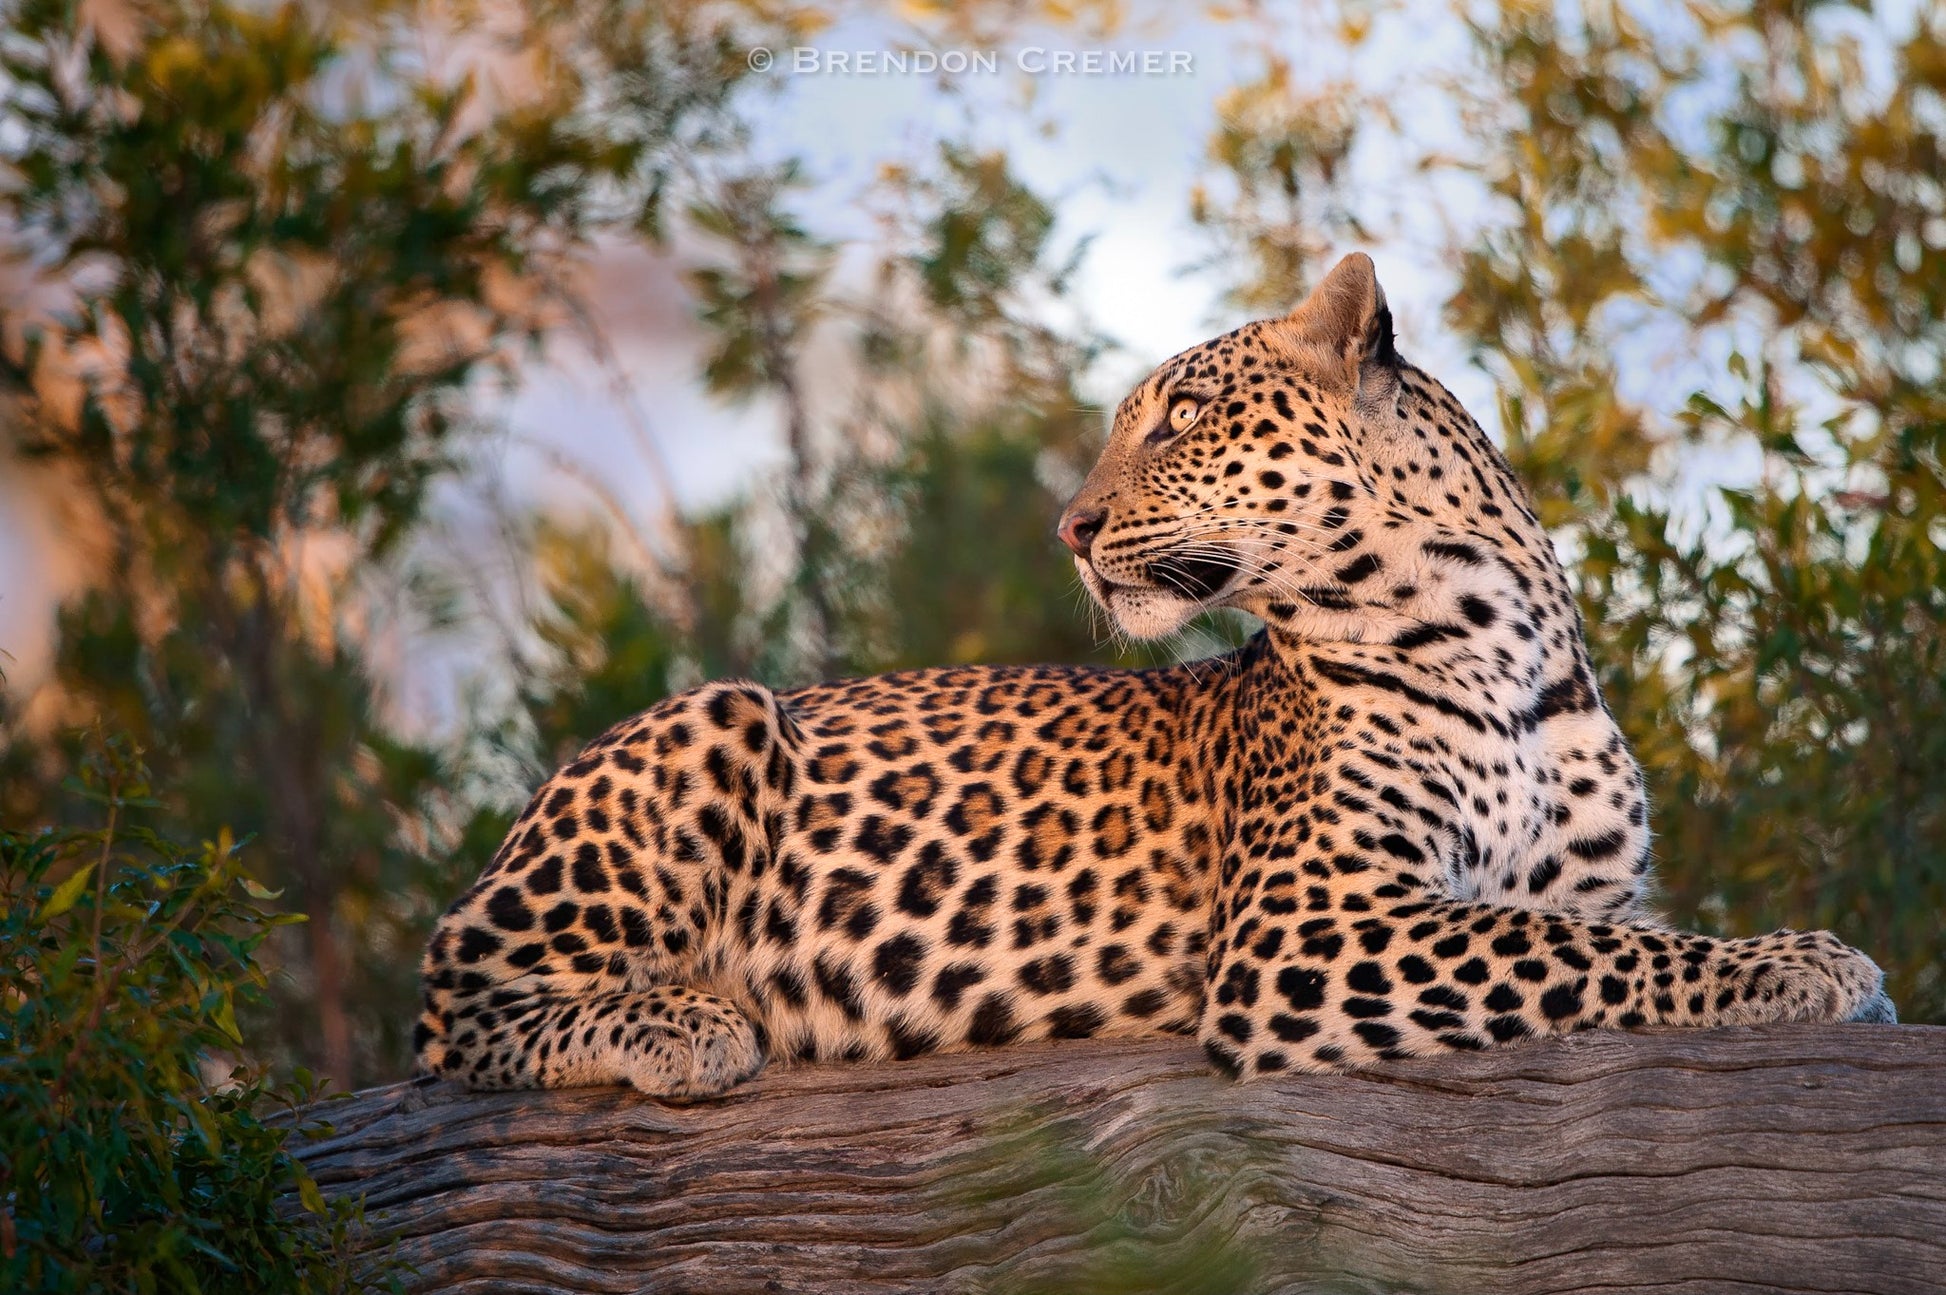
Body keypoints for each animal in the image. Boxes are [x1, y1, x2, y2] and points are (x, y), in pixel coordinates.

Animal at [415, 252, 1895, 1098]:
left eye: (1181, 415)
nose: (1067, 526)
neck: (1497, 648)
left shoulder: (1564, 889)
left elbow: (1600, 937)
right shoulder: (1310, 928)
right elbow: (1576, 955)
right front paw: (1807, 961)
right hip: (712, 718)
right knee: (452, 999)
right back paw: (684, 1020)